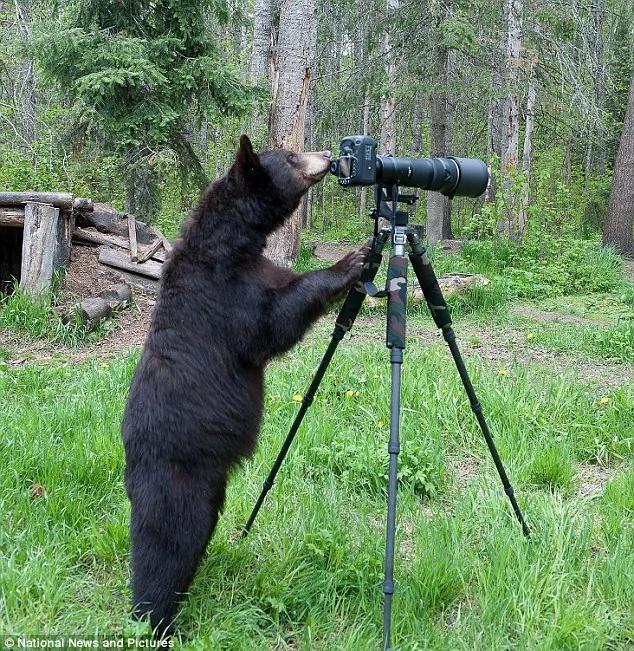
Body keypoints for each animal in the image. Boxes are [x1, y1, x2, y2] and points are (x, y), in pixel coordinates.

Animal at [121, 135, 367, 635]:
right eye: (289, 157)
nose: (327, 156)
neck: (232, 244)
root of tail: (130, 466)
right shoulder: (226, 295)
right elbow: (270, 325)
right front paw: (349, 261)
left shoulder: (256, 268)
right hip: (177, 480)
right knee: (165, 545)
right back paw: (154, 617)